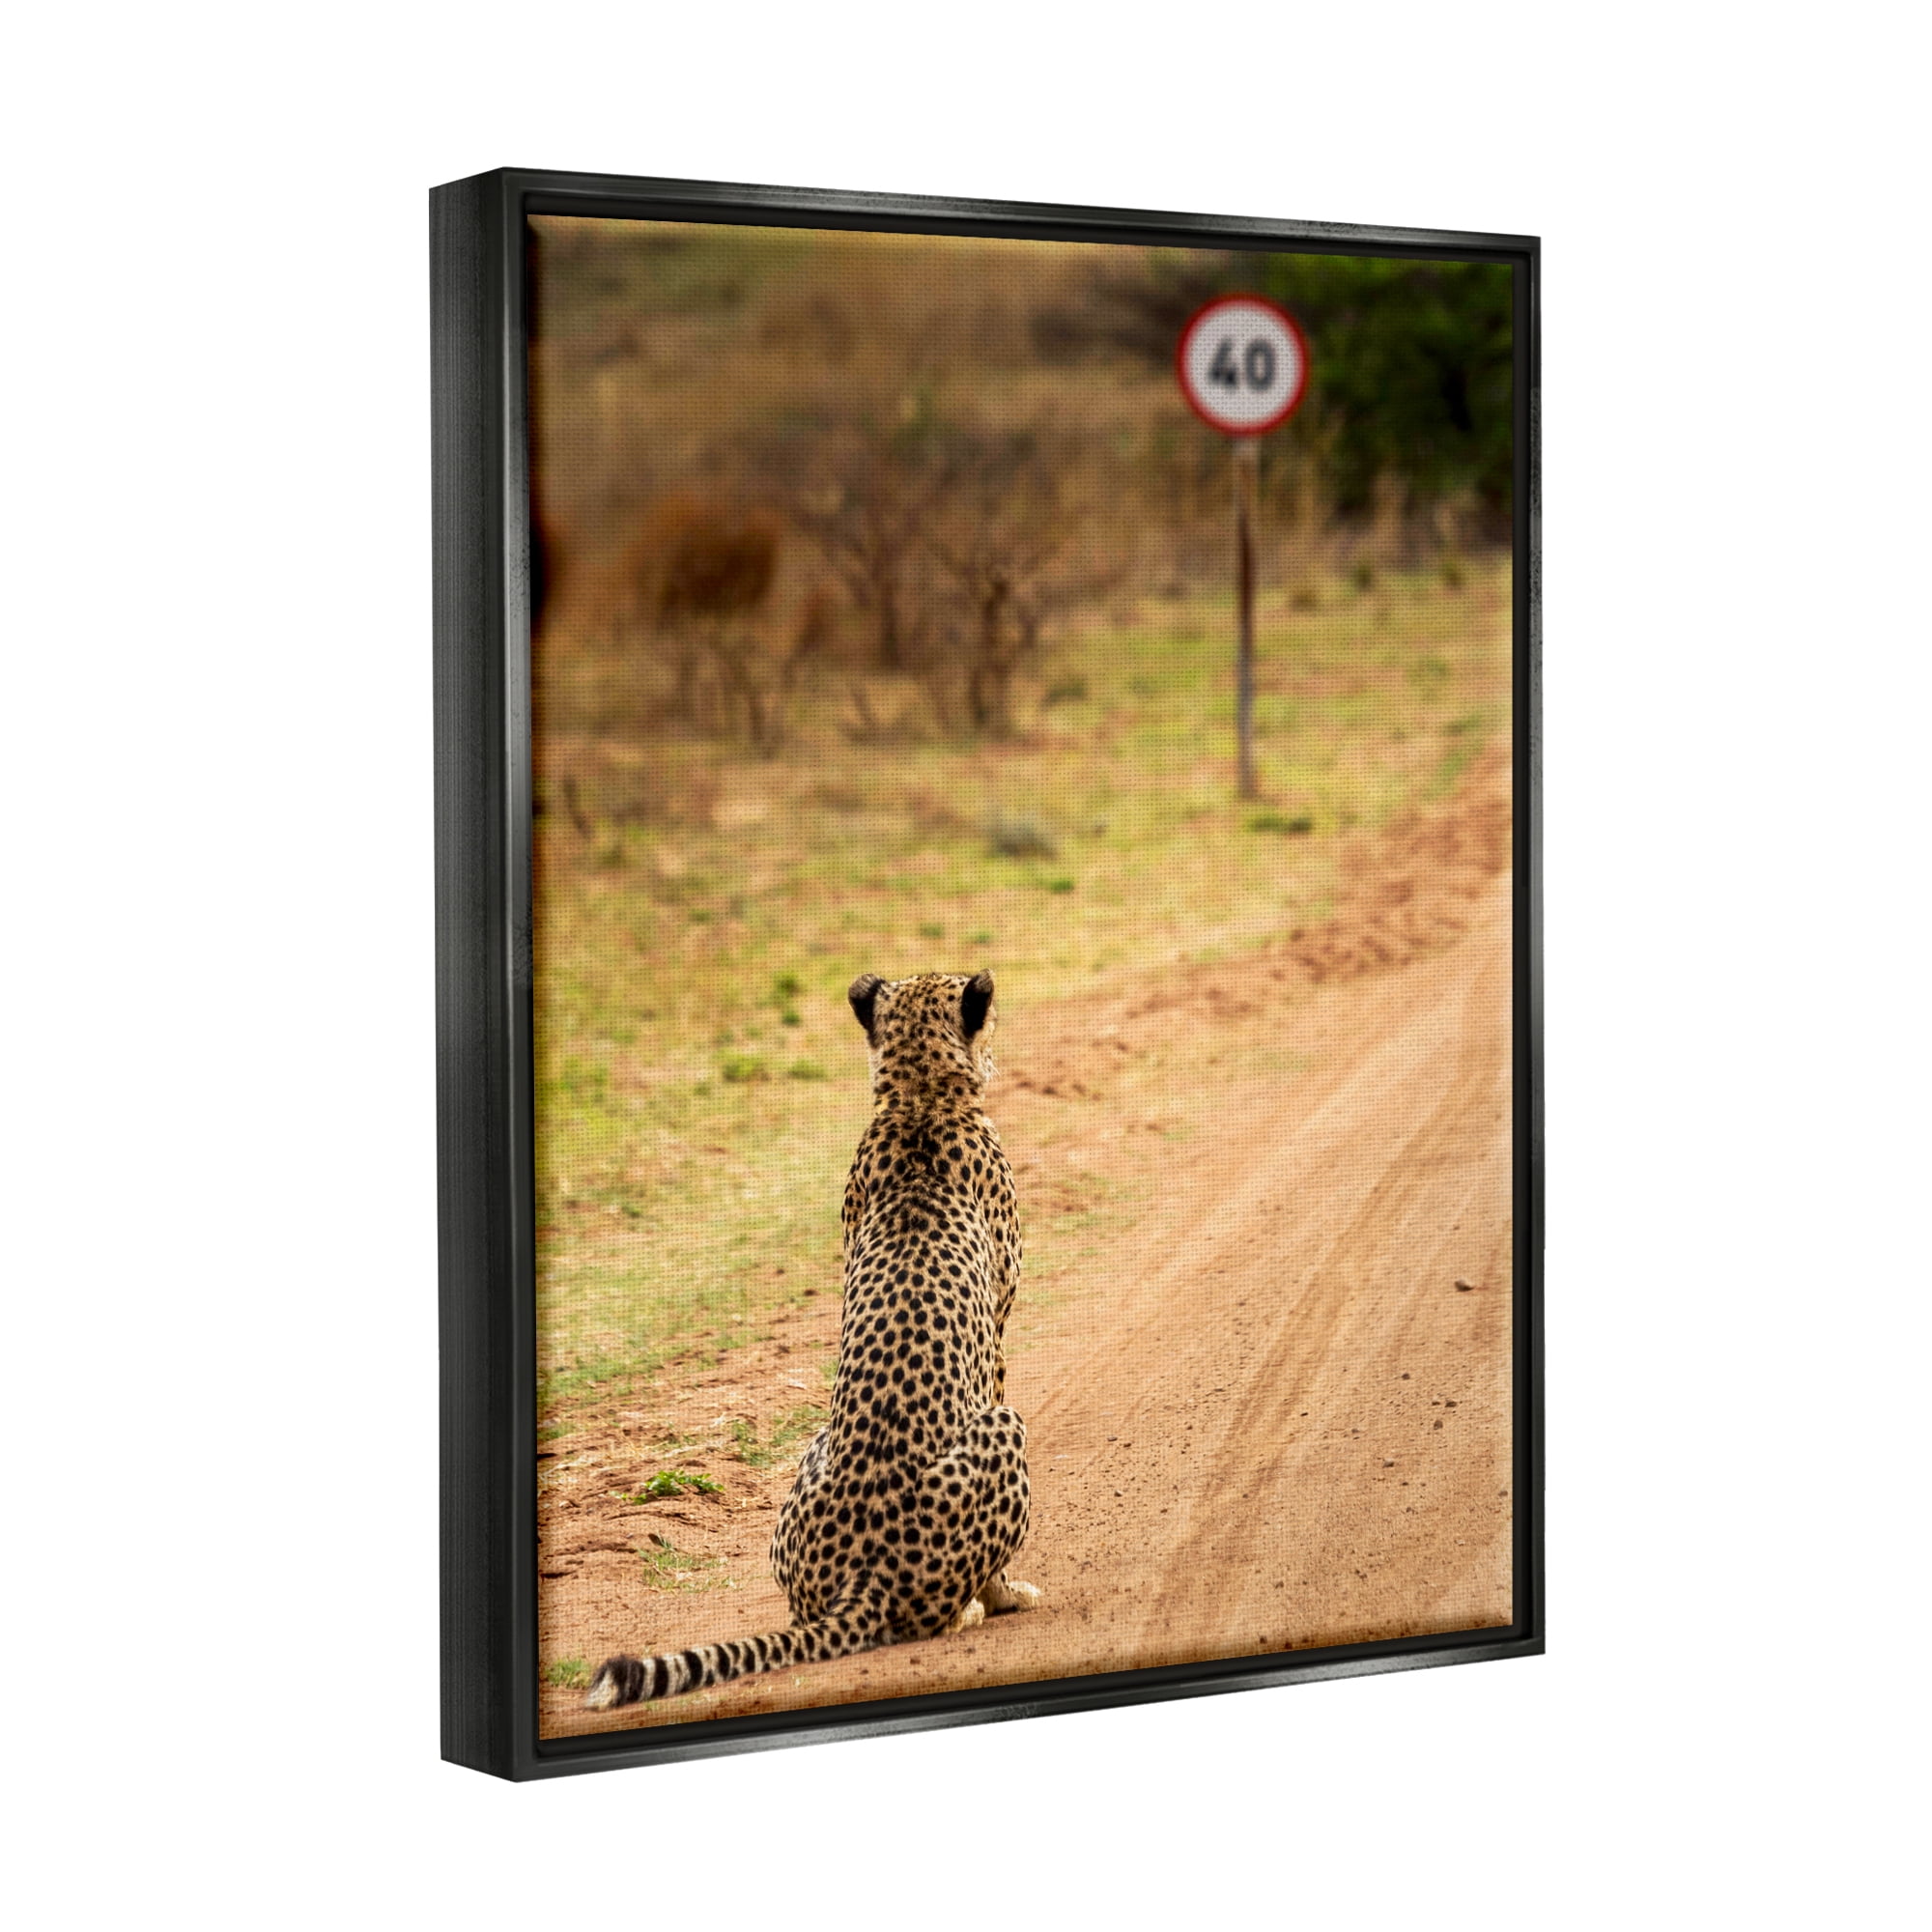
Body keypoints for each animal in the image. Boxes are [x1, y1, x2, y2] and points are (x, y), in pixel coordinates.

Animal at [583, 968, 1042, 1710]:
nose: (1000, 1047)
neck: (919, 1099)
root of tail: (863, 1579)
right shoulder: (997, 1338)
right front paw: (1008, 1593)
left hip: (812, 1456)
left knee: (801, 1615)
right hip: (1005, 1427)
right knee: (932, 1617)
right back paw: (974, 1607)